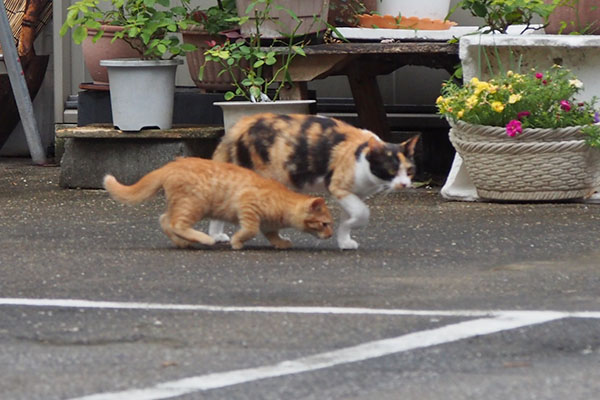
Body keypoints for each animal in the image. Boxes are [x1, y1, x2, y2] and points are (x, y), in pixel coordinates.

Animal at [105, 157, 336, 248]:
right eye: (324, 224)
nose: (331, 235)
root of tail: (170, 165)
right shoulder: (248, 206)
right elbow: (249, 230)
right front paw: (237, 242)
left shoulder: (268, 224)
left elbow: (272, 234)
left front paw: (281, 243)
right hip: (194, 205)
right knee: (175, 223)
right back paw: (205, 239)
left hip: (181, 205)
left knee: (165, 221)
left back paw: (183, 242)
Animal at [210, 113, 418, 250]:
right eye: (391, 170)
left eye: (409, 171)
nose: (404, 184)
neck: (360, 155)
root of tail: (240, 124)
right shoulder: (338, 188)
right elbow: (362, 212)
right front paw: (355, 223)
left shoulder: (353, 194)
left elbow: (349, 216)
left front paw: (344, 239)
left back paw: (216, 235)